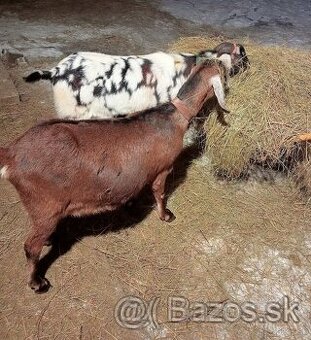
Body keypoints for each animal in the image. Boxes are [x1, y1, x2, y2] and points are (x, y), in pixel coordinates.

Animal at [0, 59, 229, 292]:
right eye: (223, 72)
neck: (174, 116)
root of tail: (11, 154)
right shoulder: (163, 168)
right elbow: (160, 193)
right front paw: (166, 216)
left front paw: (131, 207)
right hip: (45, 203)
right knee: (30, 246)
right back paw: (37, 282)